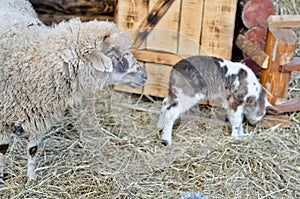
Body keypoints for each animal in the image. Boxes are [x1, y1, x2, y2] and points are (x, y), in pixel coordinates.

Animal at [0, 3, 146, 182]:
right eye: (114, 56)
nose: (144, 75)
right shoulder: (3, 120)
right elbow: (2, 149)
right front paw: (1, 177)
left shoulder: (40, 117)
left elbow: (33, 150)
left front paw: (31, 178)